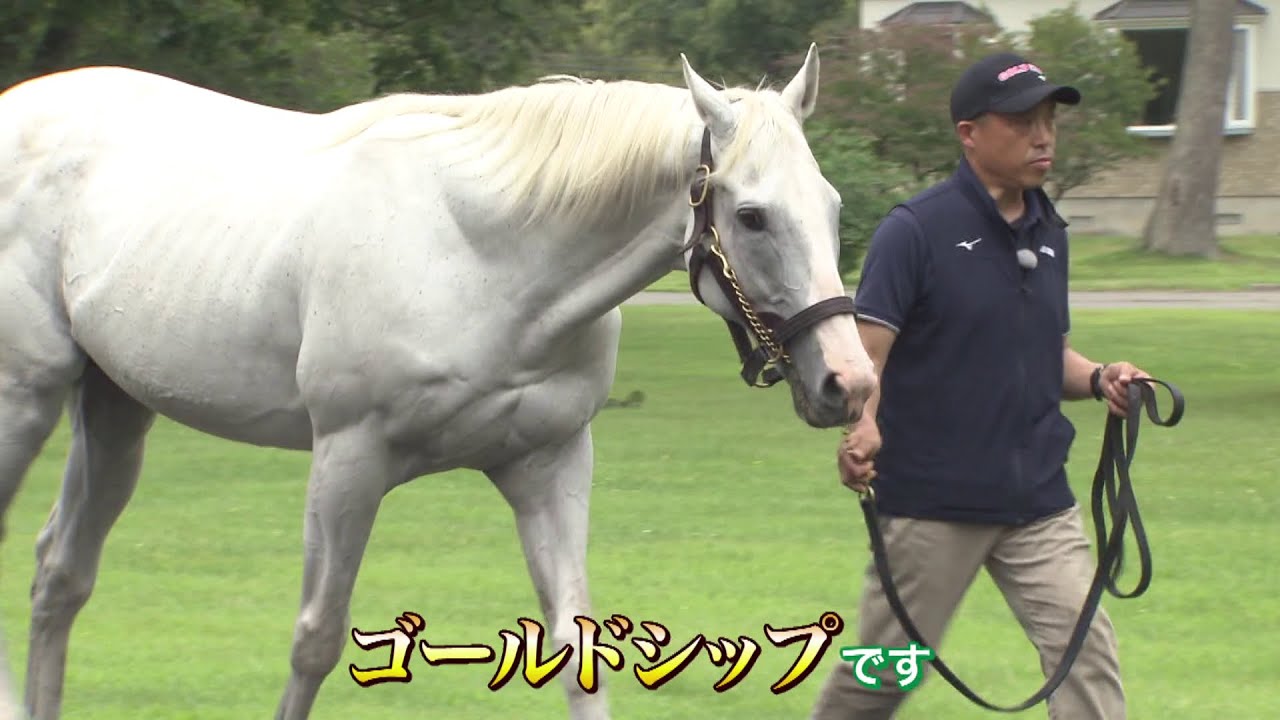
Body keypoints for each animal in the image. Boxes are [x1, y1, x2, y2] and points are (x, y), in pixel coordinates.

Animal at [0, 45, 876, 719]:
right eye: (752, 216)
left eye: (832, 206)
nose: (849, 382)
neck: (483, 254)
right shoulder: (347, 461)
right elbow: (315, 639)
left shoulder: (549, 465)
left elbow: (577, 646)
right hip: (25, 399)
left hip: (114, 407)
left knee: (60, 576)